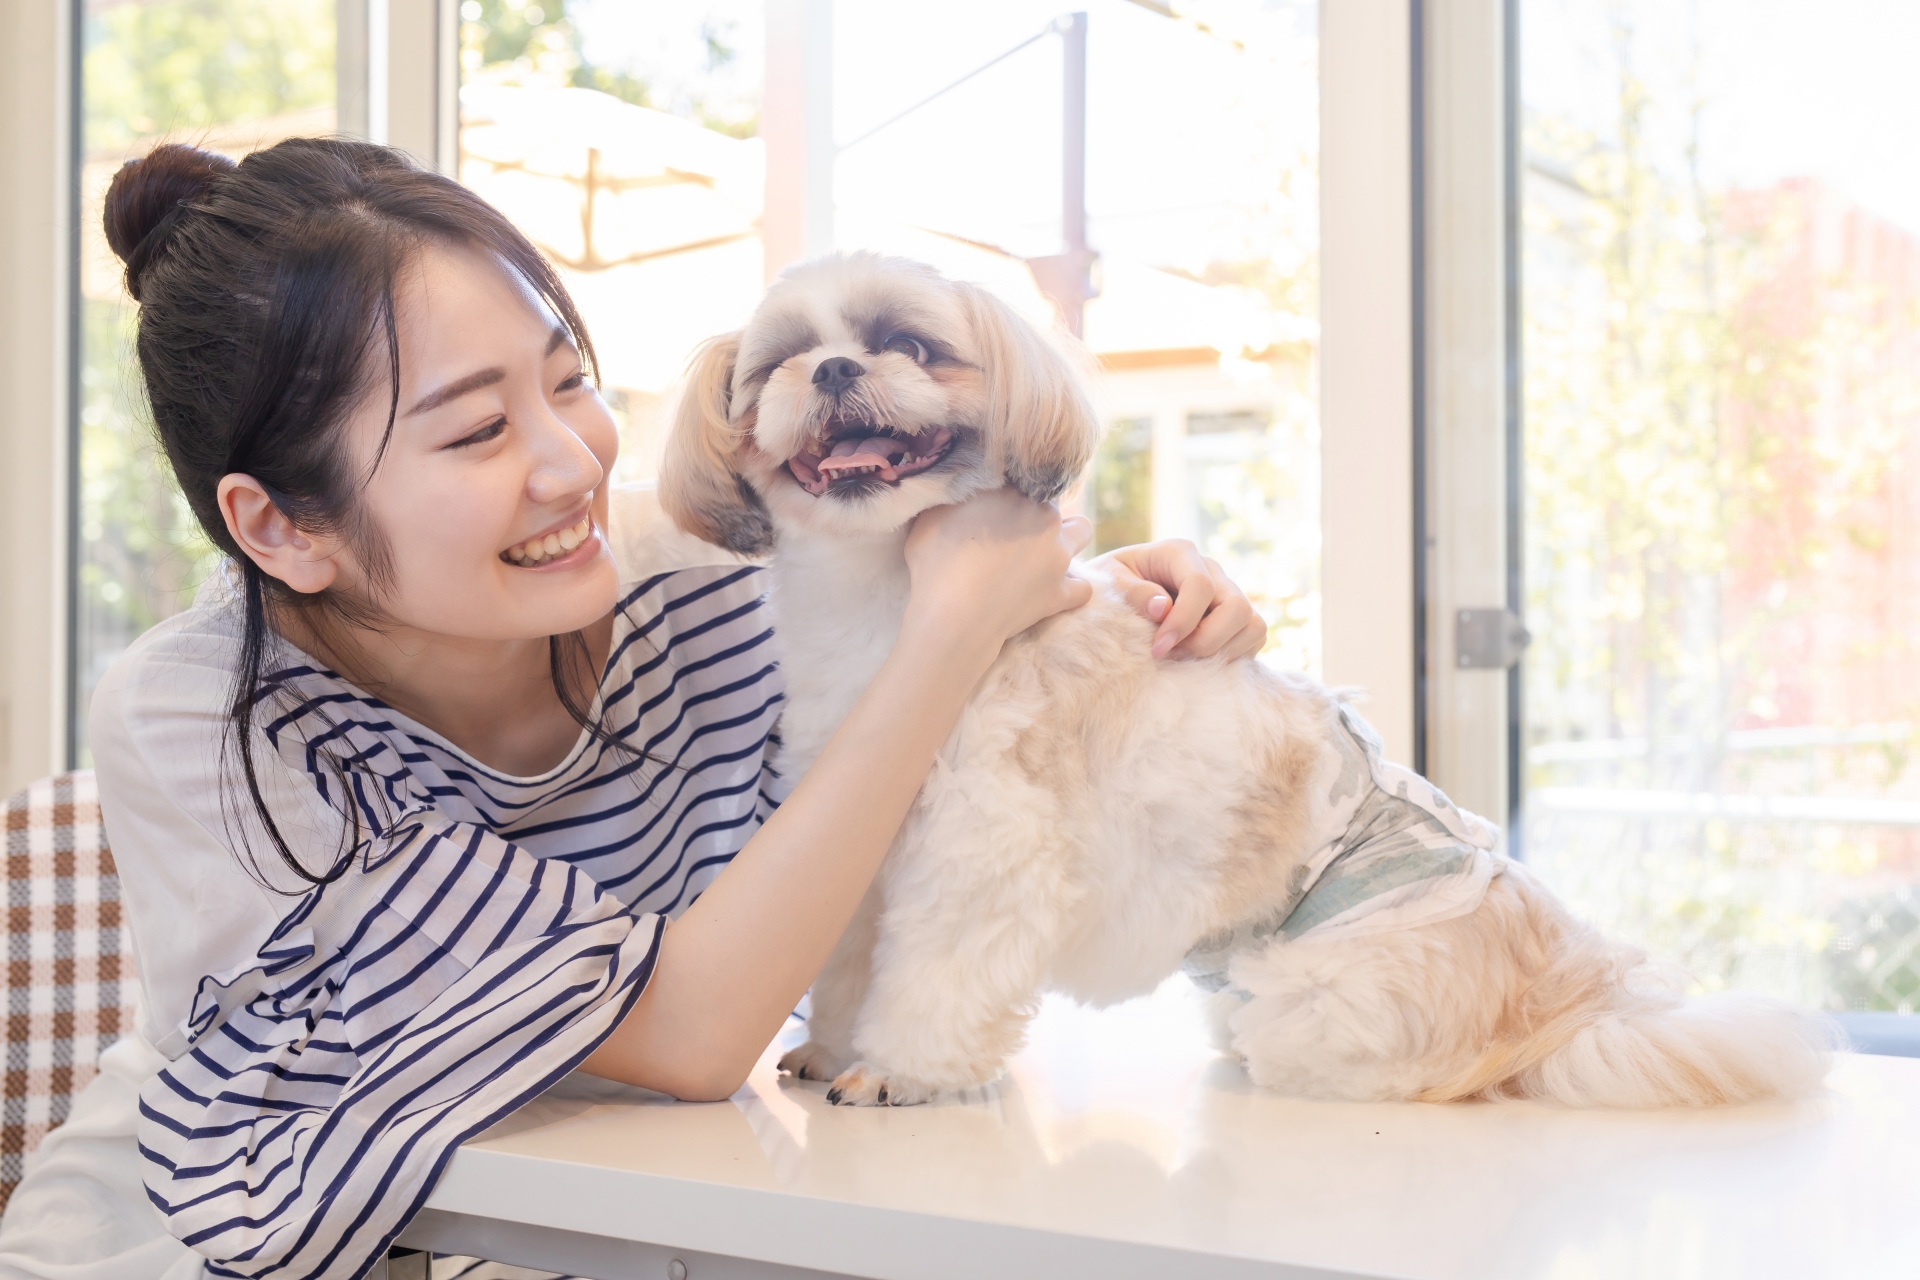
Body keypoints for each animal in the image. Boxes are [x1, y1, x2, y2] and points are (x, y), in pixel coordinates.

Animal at [656, 253, 1827, 1113]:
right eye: (780, 364)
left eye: (908, 346)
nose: (833, 372)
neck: (890, 606)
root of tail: (1569, 1003)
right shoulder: (863, 834)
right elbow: (848, 955)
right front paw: (832, 1043)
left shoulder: (978, 843)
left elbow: (937, 967)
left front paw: (900, 1068)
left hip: (1326, 998)